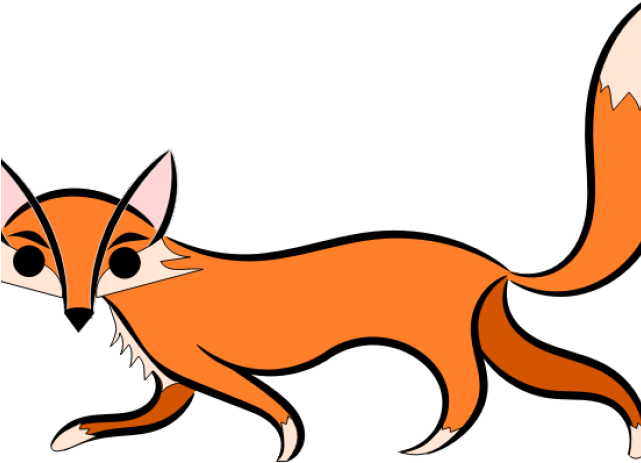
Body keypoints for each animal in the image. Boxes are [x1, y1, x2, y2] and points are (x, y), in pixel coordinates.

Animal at [1, 10, 640, 461]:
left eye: (123, 262)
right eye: (30, 261)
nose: (79, 312)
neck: (157, 279)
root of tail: (492, 265)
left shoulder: (196, 362)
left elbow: (270, 406)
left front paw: (286, 443)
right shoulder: (175, 379)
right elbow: (140, 415)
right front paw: (74, 434)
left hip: (444, 343)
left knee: (471, 392)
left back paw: (431, 442)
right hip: (494, 335)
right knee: (582, 381)